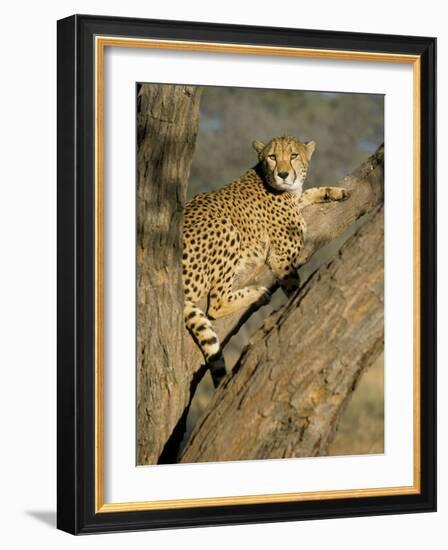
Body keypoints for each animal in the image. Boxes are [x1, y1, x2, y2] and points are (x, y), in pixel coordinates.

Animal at [182, 136, 350, 388]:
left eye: (293, 155)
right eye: (272, 157)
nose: (283, 174)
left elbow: (308, 193)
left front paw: (336, 192)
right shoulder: (281, 258)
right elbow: (294, 286)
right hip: (227, 227)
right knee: (216, 303)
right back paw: (258, 294)